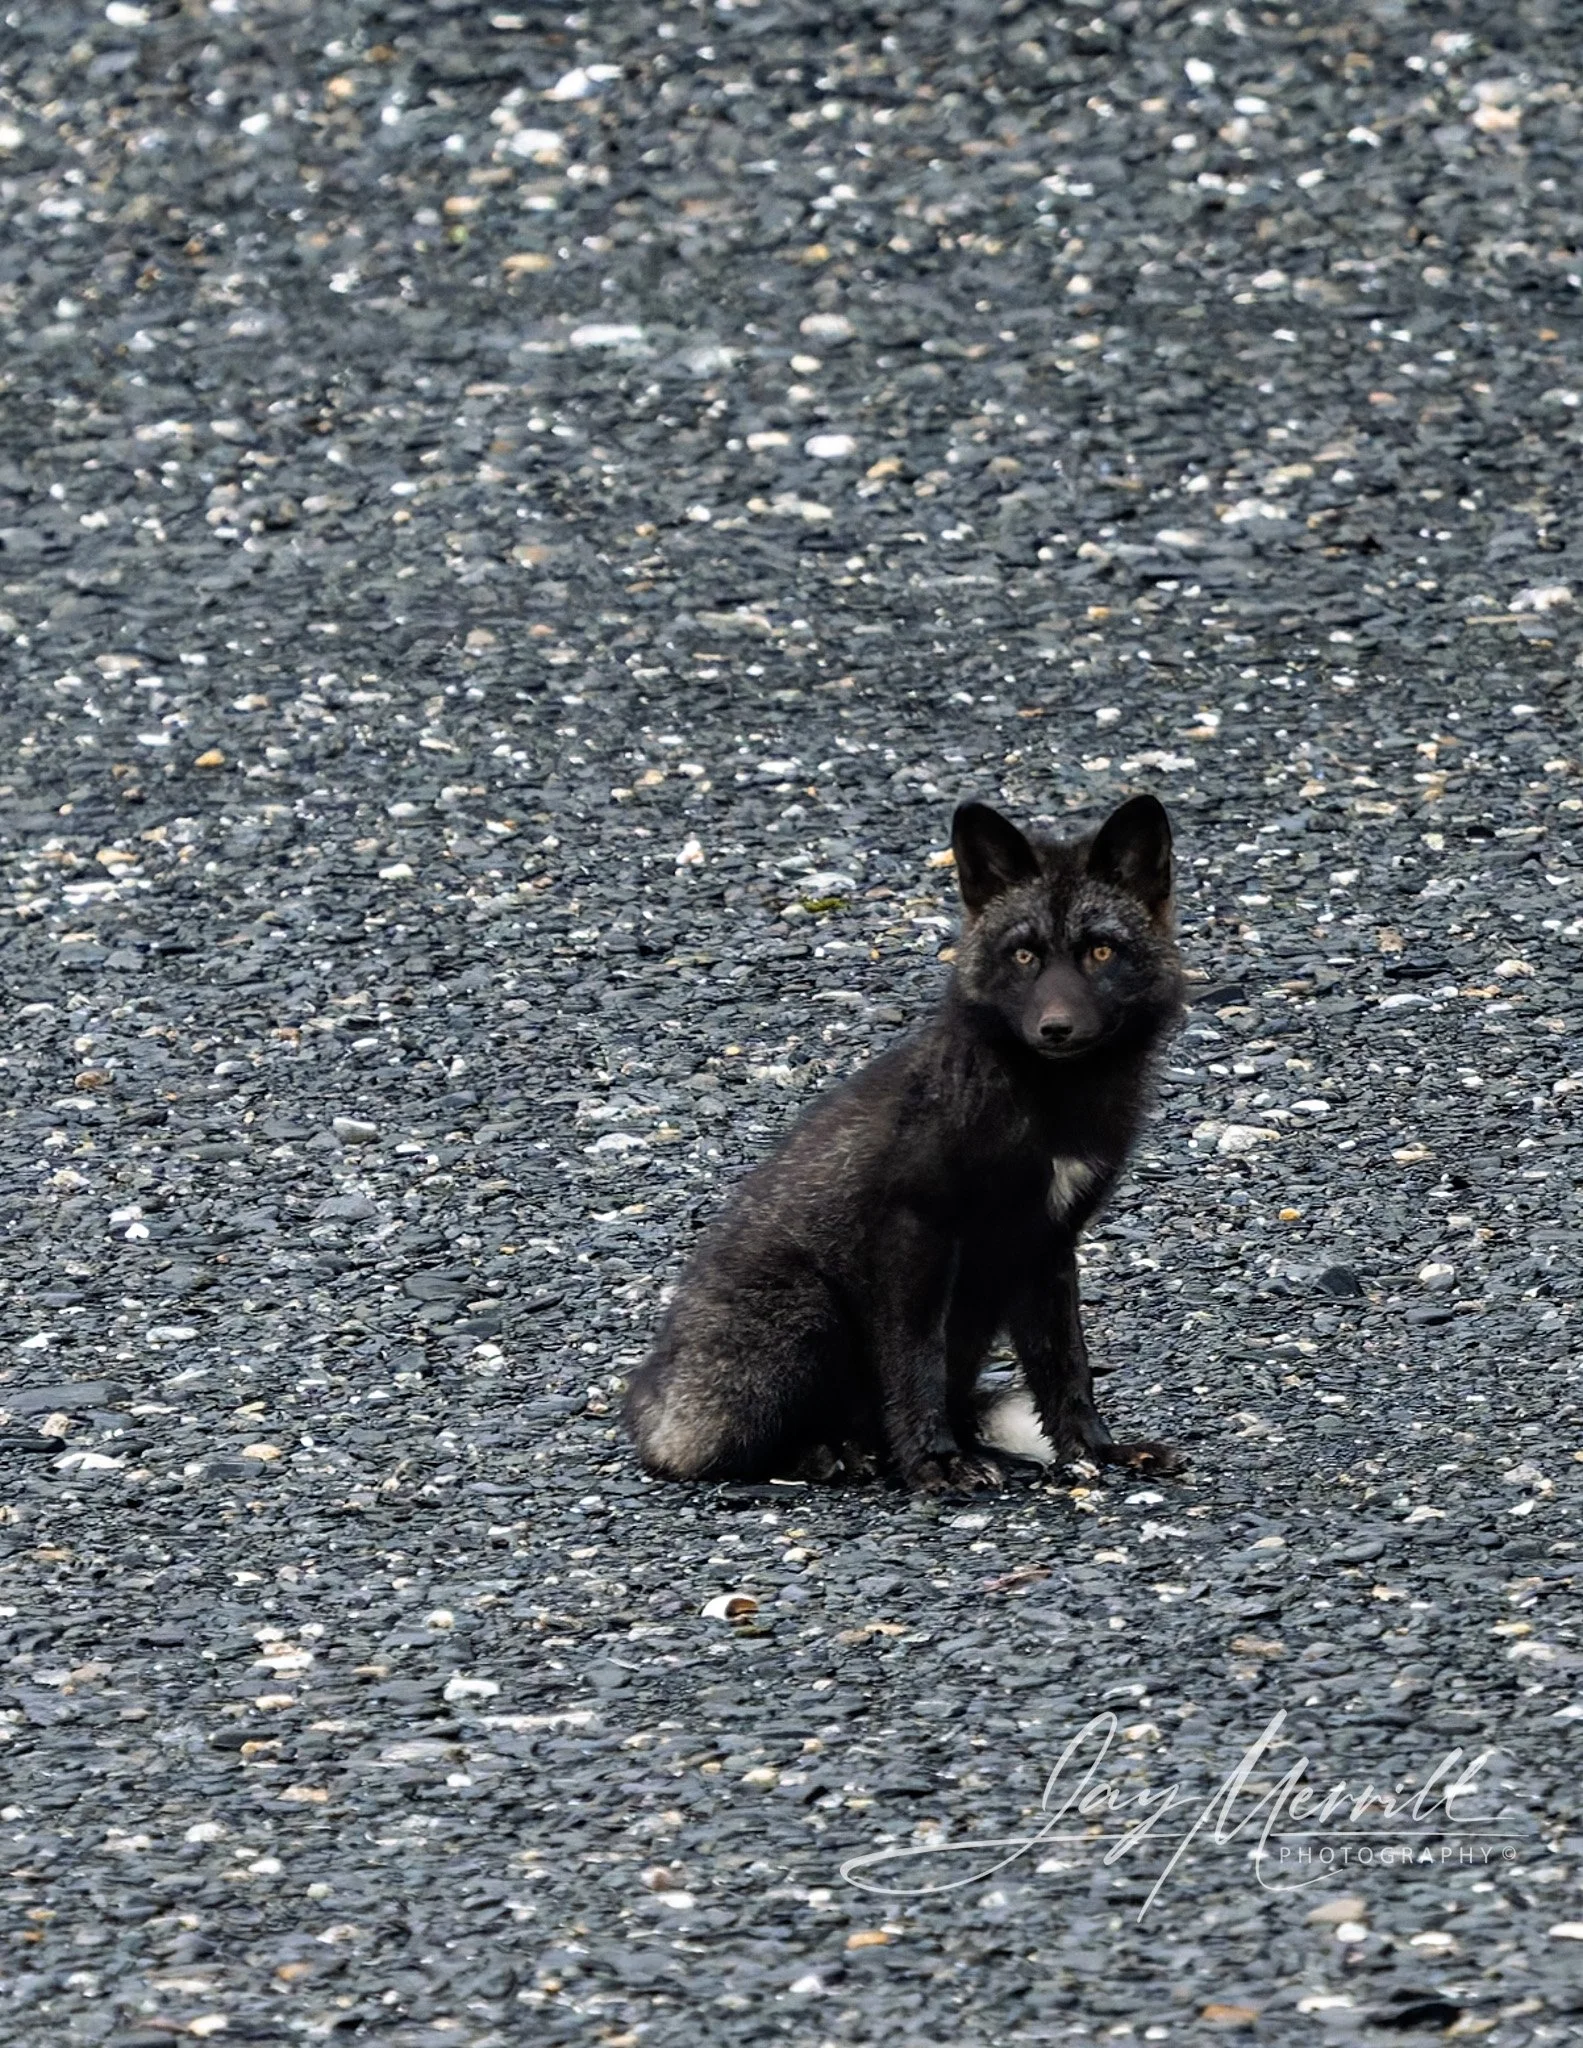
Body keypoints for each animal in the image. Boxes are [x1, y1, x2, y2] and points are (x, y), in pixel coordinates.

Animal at [624, 793, 1188, 1492]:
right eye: (1024, 956)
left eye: (1101, 952)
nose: (1055, 1029)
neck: (1048, 1110)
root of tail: (645, 1401)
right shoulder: (914, 1230)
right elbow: (916, 1361)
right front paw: (933, 1461)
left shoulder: (1046, 1243)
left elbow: (1066, 1368)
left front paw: (1094, 1451)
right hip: (804, 1315)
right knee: (717, 1458)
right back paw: (832, 1454)